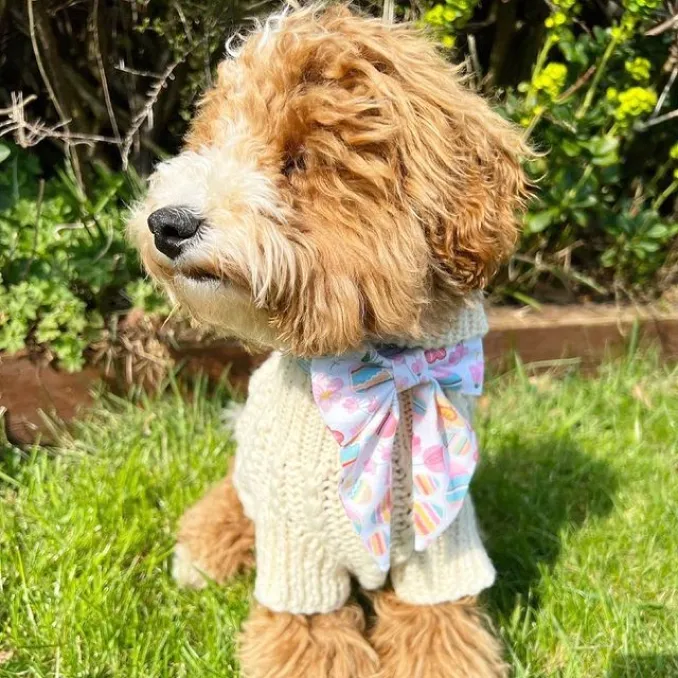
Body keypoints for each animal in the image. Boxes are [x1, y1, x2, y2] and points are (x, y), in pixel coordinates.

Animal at [129, 3, 532, 676]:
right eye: (214, 140)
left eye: (299, 158)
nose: (167, 223)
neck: (377, 373)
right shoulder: (297, 551)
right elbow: (312, 638)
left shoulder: (441, 545)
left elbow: (438, 631)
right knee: (224, 504)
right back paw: (200, 557)